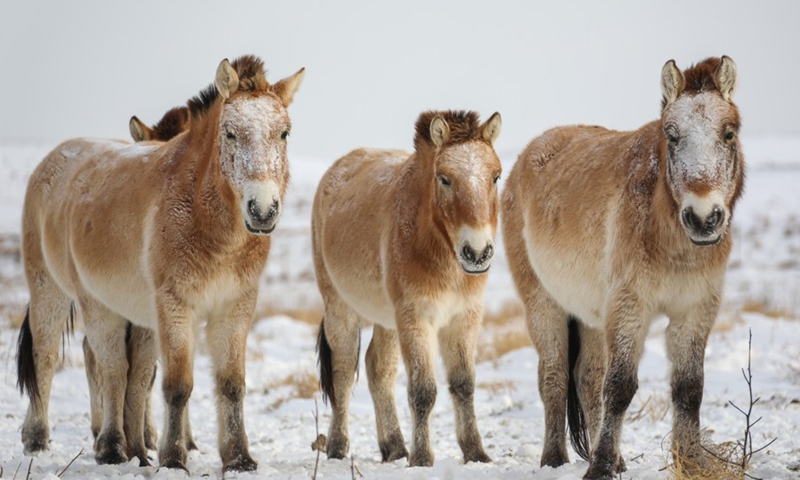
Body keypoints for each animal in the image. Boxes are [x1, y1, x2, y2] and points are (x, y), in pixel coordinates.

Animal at [19, 55, 306, 472]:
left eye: (283, 133)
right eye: (230, 134)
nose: (263, 210)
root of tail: (52, 162)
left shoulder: (234, 307)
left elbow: (230, 383)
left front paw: (238, 457)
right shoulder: (175, 305)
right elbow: (177, 385)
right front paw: (173, 457)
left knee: (128, 372)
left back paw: (133, 447)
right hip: (64, 295)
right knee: (73, 362)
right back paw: (80, 444)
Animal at [316, 111, 504, 464]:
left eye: (496, 177)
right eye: (445, 179)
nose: (477, 253)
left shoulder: (464, 318)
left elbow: (464, 384)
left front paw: (475, 452)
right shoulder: (416, 317)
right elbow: (422, 390)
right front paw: (422, 458)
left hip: (387, 321)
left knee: (378, 369)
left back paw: (393, 446)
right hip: (340, 308)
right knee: (343, 374)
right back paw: (337, 446)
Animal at [504, 57, 748, 480]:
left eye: (729, 133)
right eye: (672, 134)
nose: (703, 219)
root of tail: (527, 155)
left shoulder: (695, 310)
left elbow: (689, 388)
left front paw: (690, 461)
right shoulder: (630, 307)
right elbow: (619, 387)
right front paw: (599, 468)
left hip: (591, 314)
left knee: (587, 377)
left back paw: (612, 457)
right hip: (543, 305)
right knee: (554, 378)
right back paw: (554, 458)